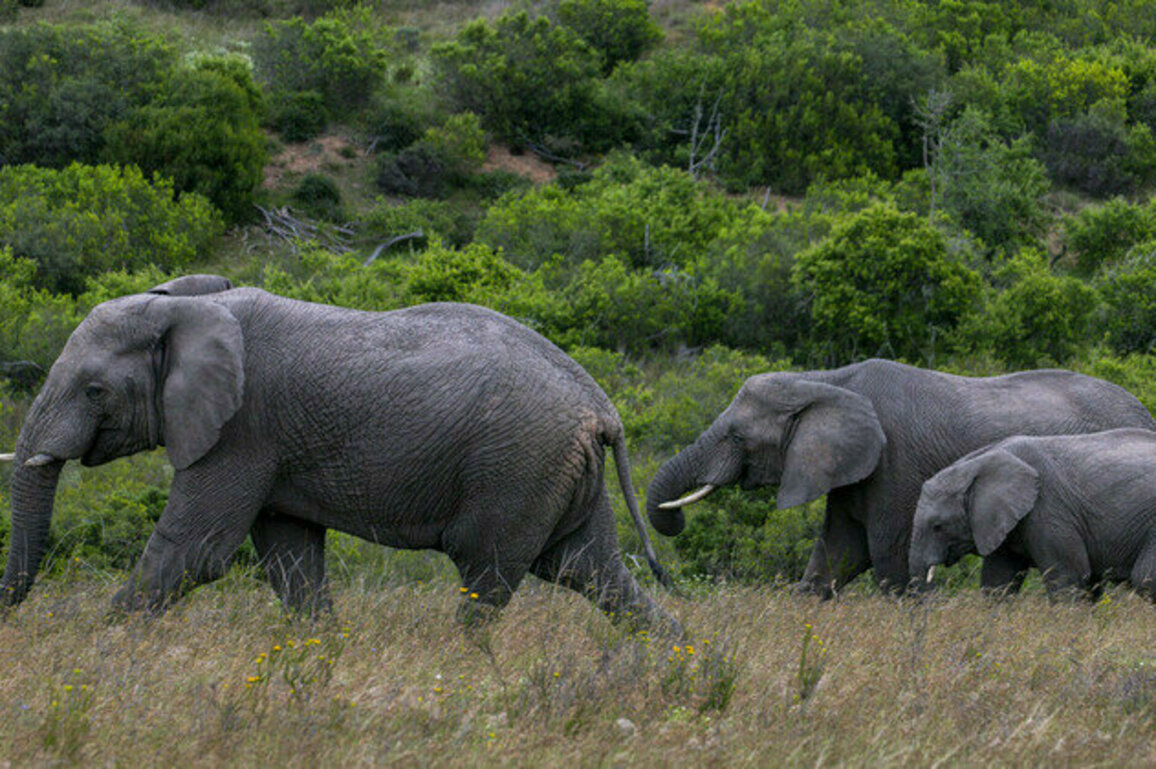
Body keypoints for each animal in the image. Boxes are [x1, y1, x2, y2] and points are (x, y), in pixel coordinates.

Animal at [1, 275, 678, 633]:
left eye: (95, 391)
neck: (191, 304)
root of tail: (603, 405)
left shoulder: (242, 429)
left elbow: (195, 550)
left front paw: (98, 650)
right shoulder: (272, 448)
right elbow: (290, 561)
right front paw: (319, 658)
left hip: (518, 466)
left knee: (487, 579)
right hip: (558, 471)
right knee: (592, 570)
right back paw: (675, 665)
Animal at [910, 428, 1156, 599]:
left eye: (938, 526)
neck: (978, 462)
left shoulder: (1049, 511)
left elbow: (1067, 578)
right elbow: (997, 582)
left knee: (1144, 579)